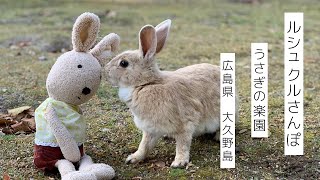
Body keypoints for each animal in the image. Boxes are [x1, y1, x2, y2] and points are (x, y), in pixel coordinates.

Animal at [105, 19, 235, 167]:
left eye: (123, 63)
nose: (105, 71)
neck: (147, 84)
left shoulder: (185, 123)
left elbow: (182, 145)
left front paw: (179, 163)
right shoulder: (149, 129)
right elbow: (144, 145)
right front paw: (133, 158)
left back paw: (218, 137)